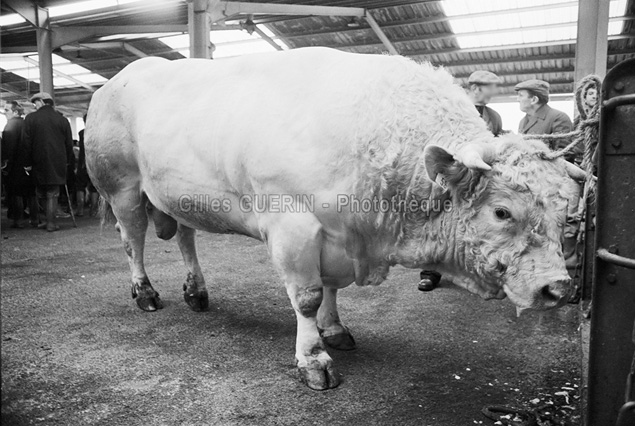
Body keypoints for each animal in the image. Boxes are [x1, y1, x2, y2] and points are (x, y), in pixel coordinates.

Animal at [87, 46, 584, 390]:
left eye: (564, 211)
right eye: (502, 211)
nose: (558, 289)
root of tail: (117, 80)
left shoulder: (338, 234)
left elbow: (329, 289)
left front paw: (335, 329)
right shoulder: (294, 227)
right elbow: (306, 296)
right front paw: (313, 359)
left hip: (179, 195)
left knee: (186, 238)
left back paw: (197, 290)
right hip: (122, 188)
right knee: (133, 241)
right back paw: (145, 293)